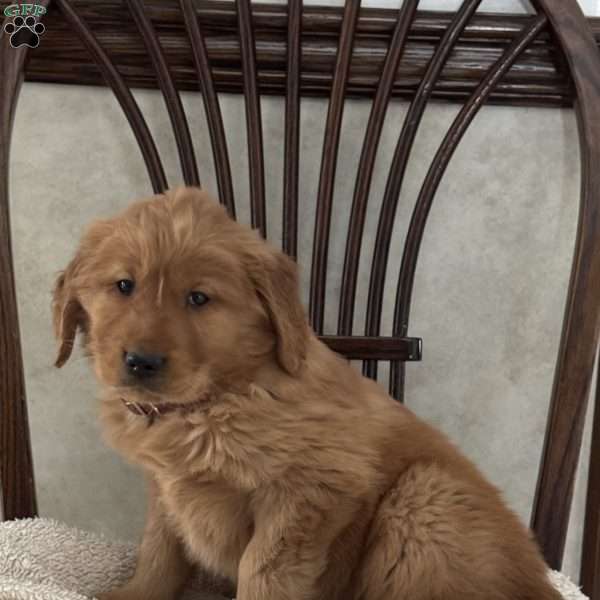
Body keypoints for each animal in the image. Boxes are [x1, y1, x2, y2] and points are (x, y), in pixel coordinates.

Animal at [52, 188, 564, 600]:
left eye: (198, 298)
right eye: (123, 285)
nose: (141, 362)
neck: (220, 398)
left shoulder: (314, 489)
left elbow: (263, 569)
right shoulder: (166, 486)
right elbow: (159, 549)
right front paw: (133, 593)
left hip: (426, 497)